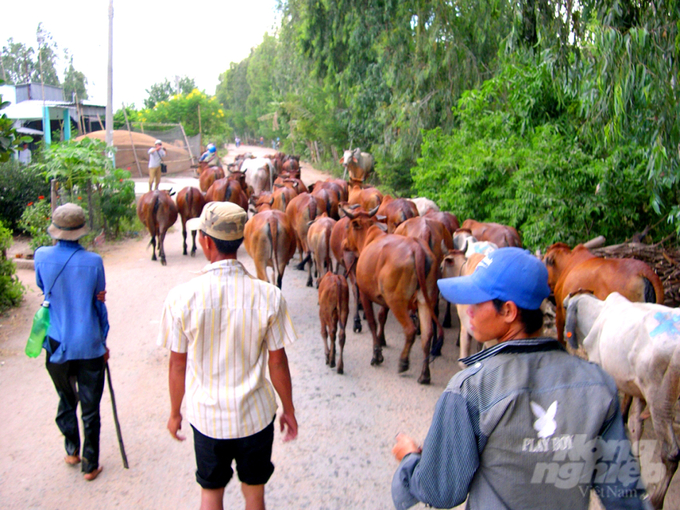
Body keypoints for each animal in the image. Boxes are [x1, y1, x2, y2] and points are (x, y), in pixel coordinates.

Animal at [342, 205, 444, 384]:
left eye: (347, 226)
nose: (344, 244)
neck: (369, 237)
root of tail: (417, 248)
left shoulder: (365, 294)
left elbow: (372, 323)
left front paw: (377, 355)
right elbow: (382, 316)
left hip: (398, 301)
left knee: (410, 330)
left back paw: (403, 362)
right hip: (425, 300)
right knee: (427, 335)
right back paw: (424, 375)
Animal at [564, 290, 680, 510]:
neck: (597, 314)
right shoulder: (638, 392)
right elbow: (635, 427)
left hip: (659, 401)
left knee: (670, 454)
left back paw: (656, 500)